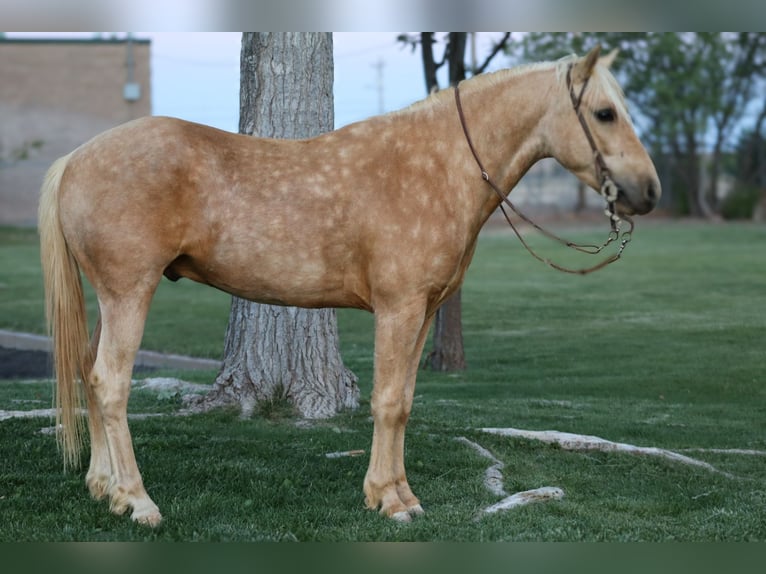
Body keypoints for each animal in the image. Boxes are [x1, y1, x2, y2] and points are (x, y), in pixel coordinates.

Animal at [39, 45, 660, 526]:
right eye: (605, 112)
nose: (649, 192)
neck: (436, 166)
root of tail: (76, 158)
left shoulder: (424, 312)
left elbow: (404, 402)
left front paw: (399, 492)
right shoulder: (398, 309)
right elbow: (386, 403)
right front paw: (391, 502)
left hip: (112, 298)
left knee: (89, 373)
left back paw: (103, 488)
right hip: (130, 294)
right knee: (111, 383)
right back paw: (137, 501)